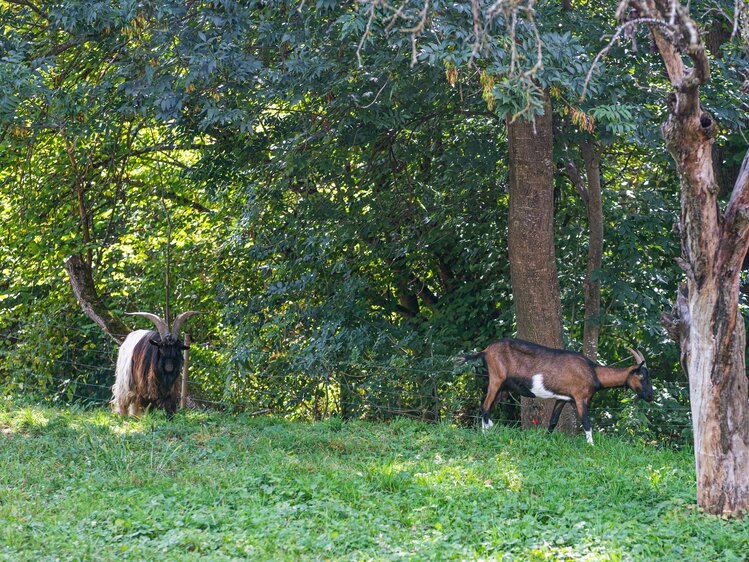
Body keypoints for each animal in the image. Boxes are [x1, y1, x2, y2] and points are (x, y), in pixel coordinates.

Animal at [456, 336, 648, 442]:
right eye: (642, 376)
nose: (651, 396)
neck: (593, 371)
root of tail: (486, 351)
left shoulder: (562, 399)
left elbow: (553, 422)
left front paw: (546, 439)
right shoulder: (580, 398)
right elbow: (586, 423)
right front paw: (591, 446)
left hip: (503, 388)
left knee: (487, 407)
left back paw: (489, 431)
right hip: (496, 379)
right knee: (485, 406)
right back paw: (487, 434)